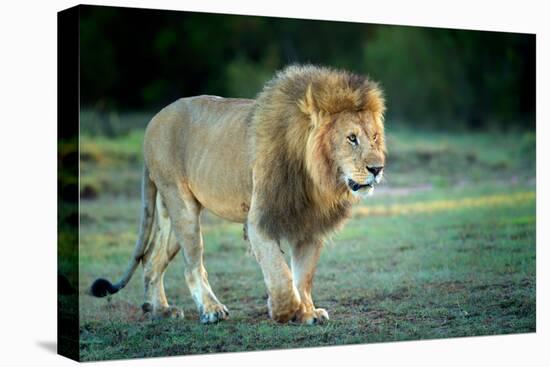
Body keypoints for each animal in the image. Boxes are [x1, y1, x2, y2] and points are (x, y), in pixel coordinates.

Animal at [90, 65, 386, 324]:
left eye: (374, 137)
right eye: (351, 138)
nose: (377, 168)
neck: (316, 179)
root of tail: (153, 121)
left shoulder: (310, 226)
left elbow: (303, 276)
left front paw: (307, 312)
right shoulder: (259, 220)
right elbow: (281, 273)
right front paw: (285, 311)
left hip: (168, 211)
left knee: (152, 260)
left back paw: (160, 310)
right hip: (181, 204)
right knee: (192, 265)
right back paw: (211, 310)